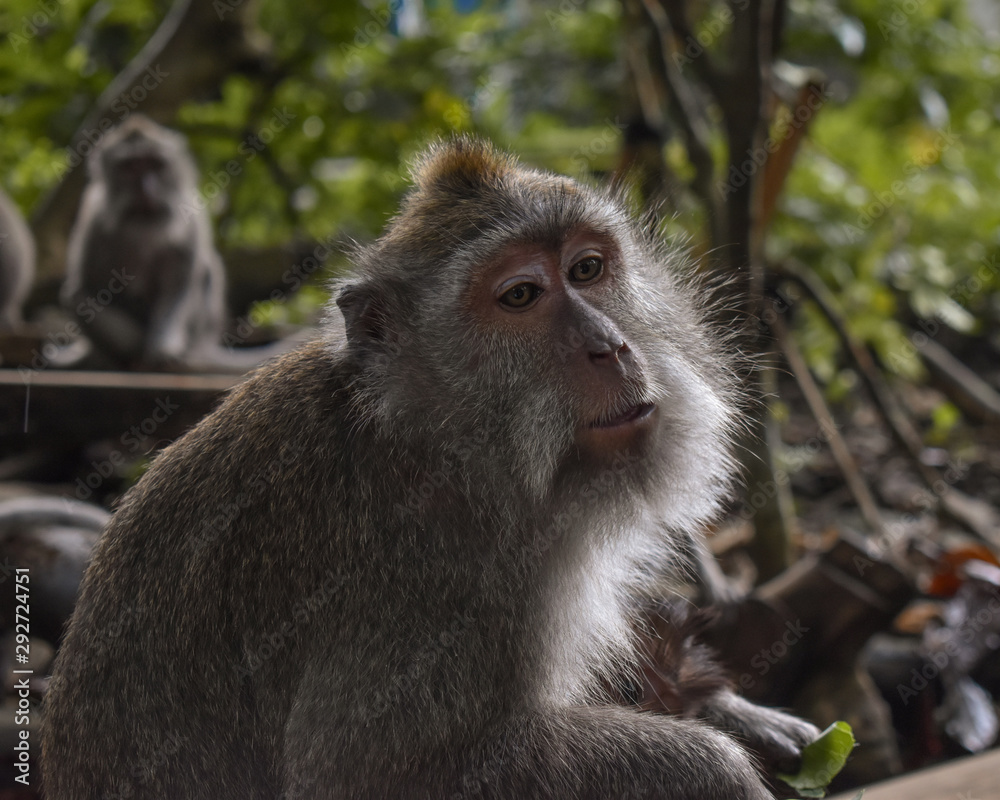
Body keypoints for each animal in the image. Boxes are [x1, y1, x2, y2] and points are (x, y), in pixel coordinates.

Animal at [42, 138, 819, 799]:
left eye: (588, 270)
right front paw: (712, 765)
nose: (611, 345)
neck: (438, 444)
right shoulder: (434, 583)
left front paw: (734, 712)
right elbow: (369, 773)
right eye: (520, 296)